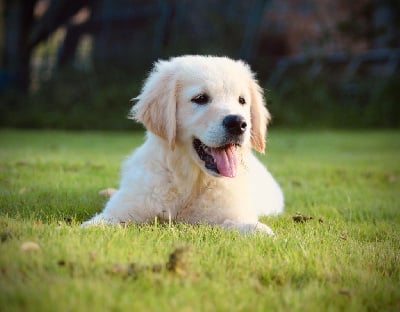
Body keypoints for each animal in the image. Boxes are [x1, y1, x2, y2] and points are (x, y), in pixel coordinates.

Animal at [83, 54, 284, 234]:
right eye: (200, 98)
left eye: (242, 100)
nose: (238, 123)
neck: (190, 181)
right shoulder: (125, 206)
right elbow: (99, 224)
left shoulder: (231, 213)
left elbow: (248, 227)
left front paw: (260, 231)